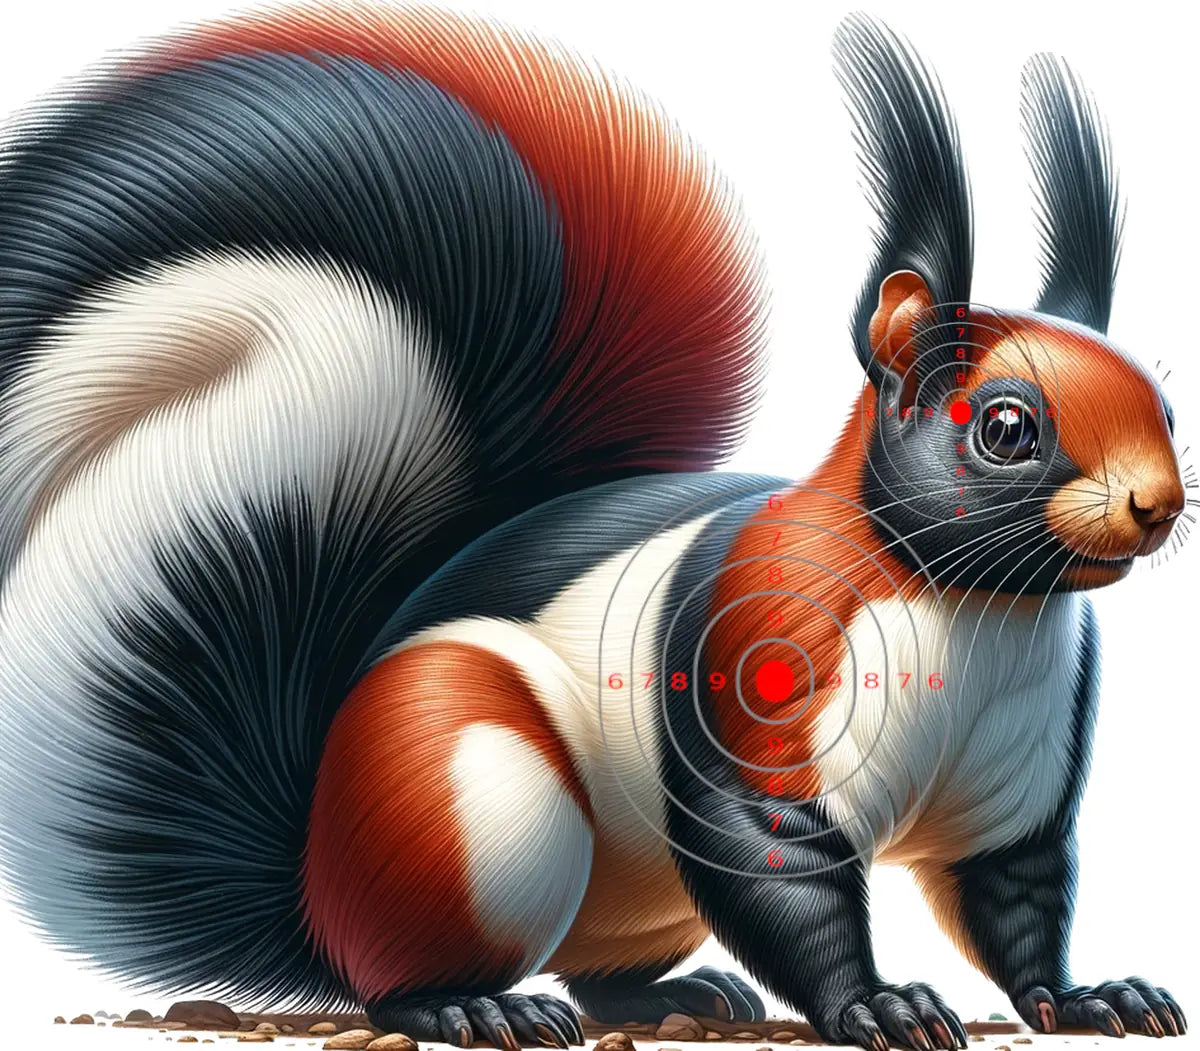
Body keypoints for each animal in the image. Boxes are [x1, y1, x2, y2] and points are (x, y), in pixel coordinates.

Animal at [0, 6, 1187, 1051]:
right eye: (1004, 426)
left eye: (1166, 408)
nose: (1158, 503)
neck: (972, 603)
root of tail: (309, 886)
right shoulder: (760, 683)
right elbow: (781, 872)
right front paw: (876, 1004)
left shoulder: (1017, 794)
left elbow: (1015, 902)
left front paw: (1085, 997)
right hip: (473, 795)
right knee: (395, 975)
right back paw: (467, 1006)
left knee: (606, 971)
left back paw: (682, 995)